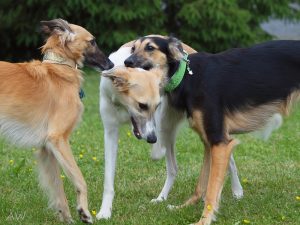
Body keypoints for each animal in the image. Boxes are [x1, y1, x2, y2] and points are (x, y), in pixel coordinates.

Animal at [123, 36, 300, 224]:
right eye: (133, 48)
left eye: (150, 47)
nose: (127, 62)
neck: (187, 76)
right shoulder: (209, 142)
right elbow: (201, 185)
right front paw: (183, 207)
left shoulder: (219, 143)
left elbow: (211, 190)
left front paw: (203, 220)